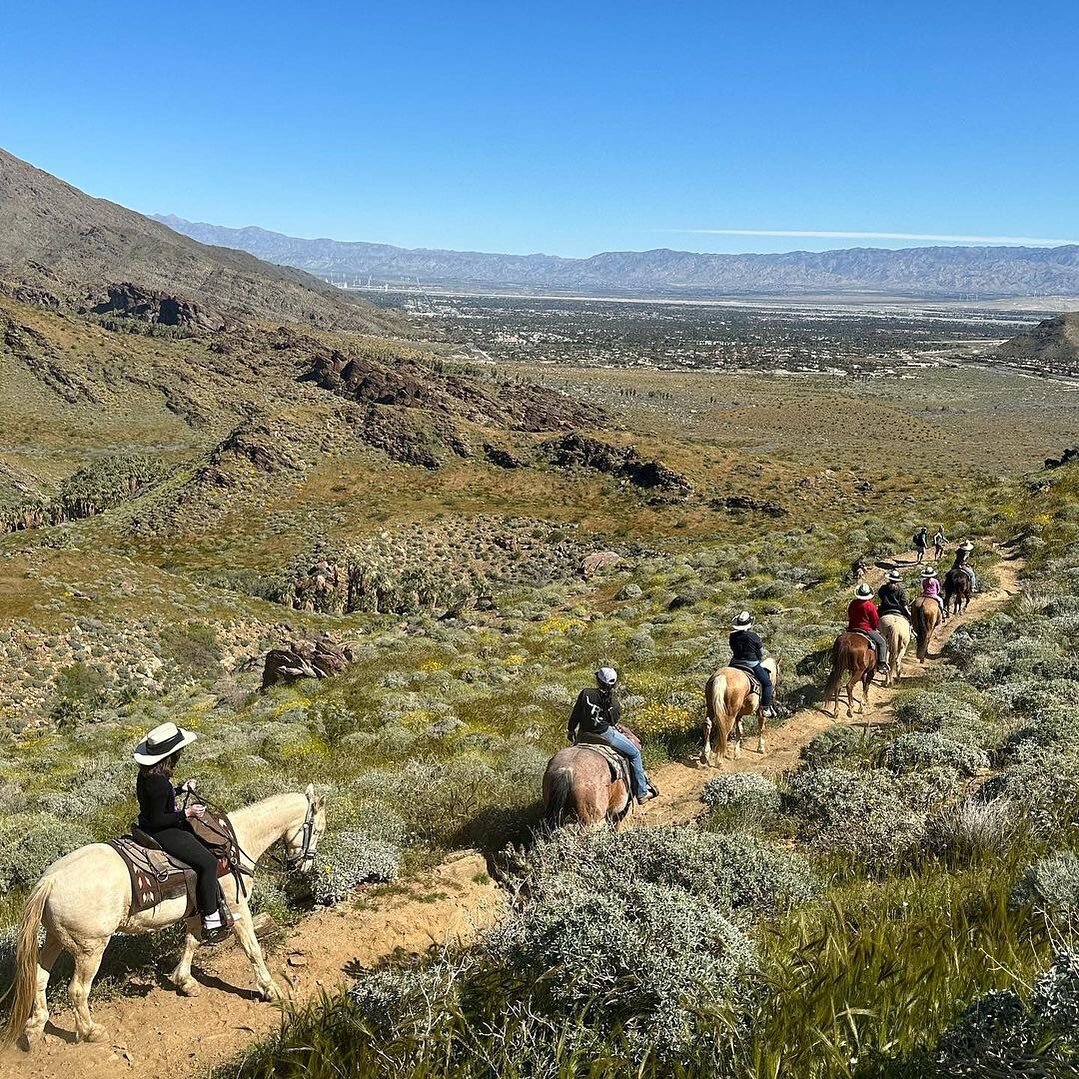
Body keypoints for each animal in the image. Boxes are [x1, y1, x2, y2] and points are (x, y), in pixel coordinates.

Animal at [2, 789, 325, 1048]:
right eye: (319, 829)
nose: (305, 867)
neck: (235, 843)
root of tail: (50, 880)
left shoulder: (198, 910)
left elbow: (192, 942)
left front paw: (185, 982)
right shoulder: (238, 908)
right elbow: (253, 949)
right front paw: (270, 989)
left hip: (55, 939)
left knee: (40, 977)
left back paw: (35, 1027)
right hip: (89, 949)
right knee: (78, 990)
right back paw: (90, 1031)